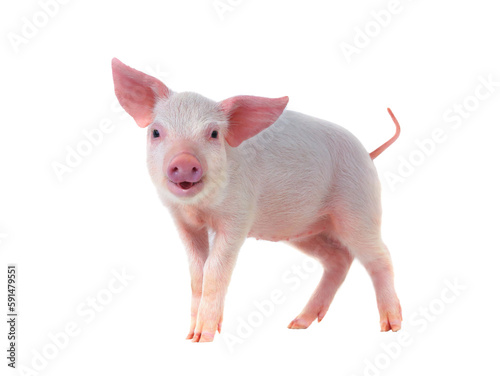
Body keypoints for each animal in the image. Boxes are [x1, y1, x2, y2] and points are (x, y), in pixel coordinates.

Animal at [112, 57, 402, 342]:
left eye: (214, 134)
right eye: (156, 132)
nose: (184, 162)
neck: (201, 208)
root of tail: (367, 154)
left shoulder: (238, 216)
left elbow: (215, 269)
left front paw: (204, 337)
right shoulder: (183, 221)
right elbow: (197, 272)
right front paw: (189, 336)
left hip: (359, 206)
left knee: (381, 256)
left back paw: (391, 326)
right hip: (305, 230)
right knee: (339, 259)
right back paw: (297, 324)